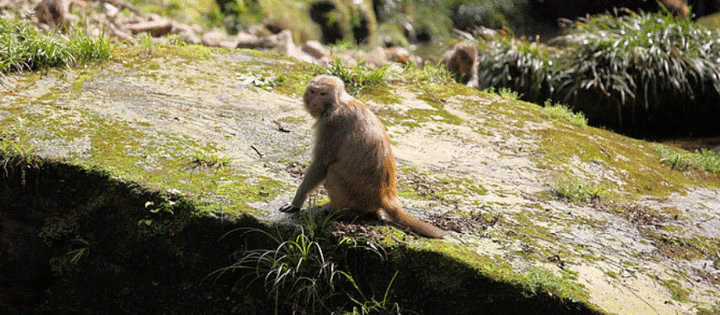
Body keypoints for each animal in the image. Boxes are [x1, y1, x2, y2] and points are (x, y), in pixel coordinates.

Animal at [280, 75, 444, 241]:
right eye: (313, 91)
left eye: (322, 94)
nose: (313, 102)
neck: (337, 103)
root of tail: (386, 197)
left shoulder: (331, 124)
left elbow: (321, 163)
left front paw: (297, 202)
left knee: (333, 171)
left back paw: (344, 211)